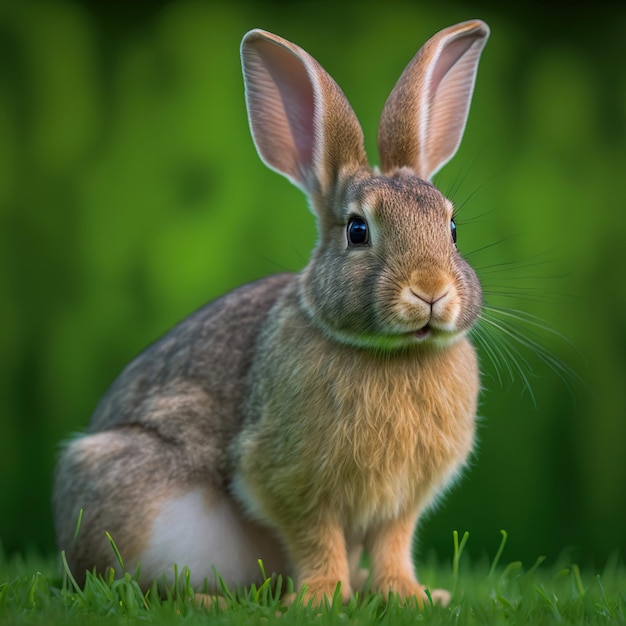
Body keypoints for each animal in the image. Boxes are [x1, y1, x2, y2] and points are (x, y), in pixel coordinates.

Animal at [52, 18, 488, 604]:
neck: (393, 353)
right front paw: (322, 598)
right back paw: (211, 600)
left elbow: (393, 544)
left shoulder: (401, 502)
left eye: (453, 228)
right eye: (357, 230)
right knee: (121, 585)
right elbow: (315, 536)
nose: (431, 291)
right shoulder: (288, 479)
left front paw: (409, 597)